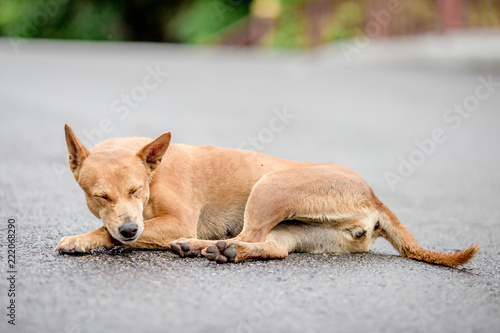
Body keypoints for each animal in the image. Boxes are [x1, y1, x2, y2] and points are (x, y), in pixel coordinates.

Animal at [55, 124, 480, 268]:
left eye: (135, 190)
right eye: (100, 196)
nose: (130, 230)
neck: (154, 171)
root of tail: (373, 195)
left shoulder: (175, 221)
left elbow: (106, 232)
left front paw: (81, 239)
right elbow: (109, 228)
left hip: (269, 188)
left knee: (247, 235)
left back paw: (199, 247)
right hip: (293, 231)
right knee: (269, 248)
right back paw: (222, 250)